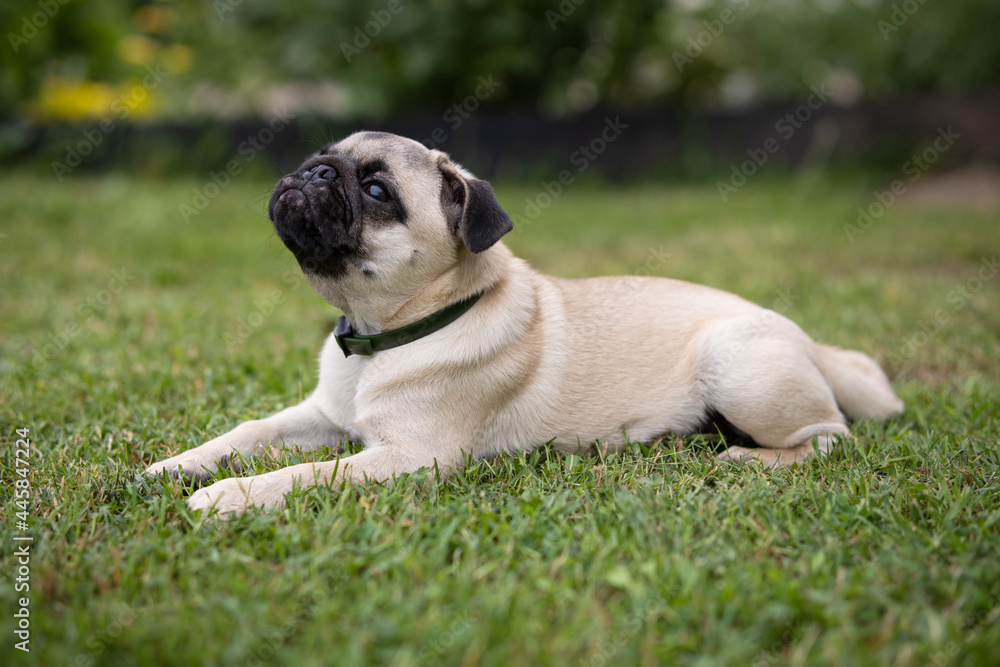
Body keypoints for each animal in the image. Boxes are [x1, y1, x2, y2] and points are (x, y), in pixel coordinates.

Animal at [146, 130, 908, 516]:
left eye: (377, 190)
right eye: (316, 162)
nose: (314, 173)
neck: (381, 337)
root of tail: (806, 339)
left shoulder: (408, 456)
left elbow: (302, 474)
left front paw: (227, 495)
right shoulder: (323, 416)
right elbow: (248, 433)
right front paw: (173, 467)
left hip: (739, 366)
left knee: (828, 437)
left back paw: (747, 457)